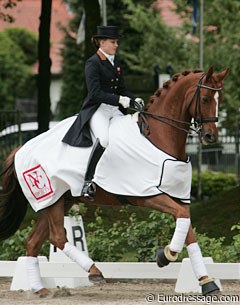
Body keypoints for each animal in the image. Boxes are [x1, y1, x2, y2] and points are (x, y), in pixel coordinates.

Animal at [0, 67, 228, 294]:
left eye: (220, 99)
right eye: (205, 99)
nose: (210, 137)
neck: (157, 138)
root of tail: (21, 149)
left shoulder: (179, 197)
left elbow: (186, 225)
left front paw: (206, 282)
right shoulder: (147, 195)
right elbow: (181, 218)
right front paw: (165, 256)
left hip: (59, 200)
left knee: (33, 241)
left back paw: (40, 289)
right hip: (52, 199)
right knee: (57, 237)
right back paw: (93, 272)